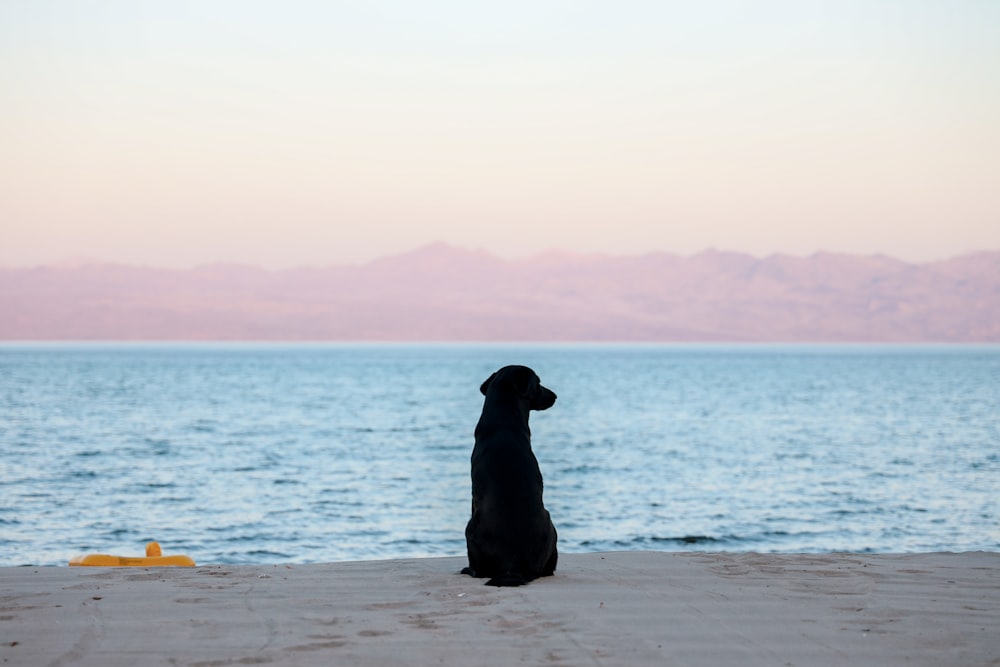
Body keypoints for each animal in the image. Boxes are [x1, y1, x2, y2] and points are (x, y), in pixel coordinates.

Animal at [458, 362, 556, 588]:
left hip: (469, 528)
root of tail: (515, 566)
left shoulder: (474, 498)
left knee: (479, 570)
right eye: (538, 382)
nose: (555, 396)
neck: (504, 417)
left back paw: (468, 569)